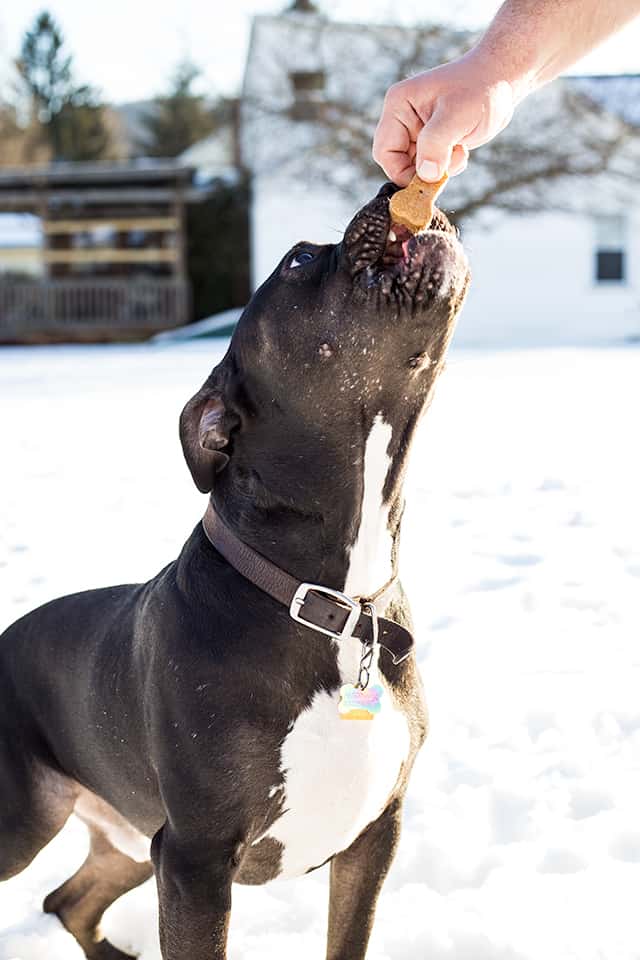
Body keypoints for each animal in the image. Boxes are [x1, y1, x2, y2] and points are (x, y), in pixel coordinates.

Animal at [1, 182, 470, 960]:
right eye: (298, 259)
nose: (386, 186)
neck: (329, 603)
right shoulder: (195, 858)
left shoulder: (373, 835)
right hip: (29, 822)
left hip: (126, 838)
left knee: (68, 900)